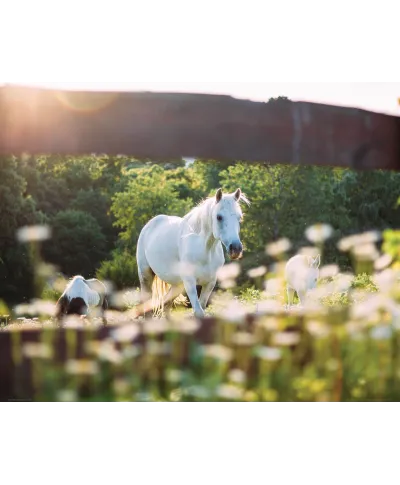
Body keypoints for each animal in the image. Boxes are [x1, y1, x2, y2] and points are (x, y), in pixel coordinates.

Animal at [138, 188, 250, 318]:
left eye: (239, 217)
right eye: (219, 217)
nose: (236, 249)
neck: (204, 250)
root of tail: (149, 224)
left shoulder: (210, 283)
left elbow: (202, 308)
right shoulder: (190, 282)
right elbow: (198, 312)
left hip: (178, 285)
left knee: (166, 304)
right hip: (145, 275)